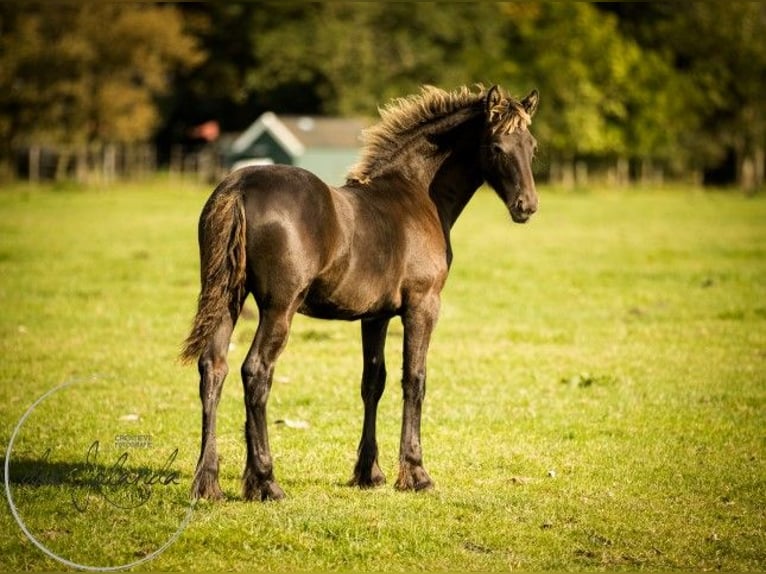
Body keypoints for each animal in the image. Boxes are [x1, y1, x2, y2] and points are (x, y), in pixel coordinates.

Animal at [182, 83, 540, 502]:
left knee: (213, 368)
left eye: (531, 146)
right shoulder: (423, 306)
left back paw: (208, 483)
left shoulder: (376, 316)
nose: (527, 206)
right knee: (255, 371)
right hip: (278, 307)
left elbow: (373, 382)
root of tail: (239, 188)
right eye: (497, 146)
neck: (417, 194)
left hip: (228, 298)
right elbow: (414, 379)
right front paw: (416, 473)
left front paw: (369, 472)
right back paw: (266, 481)